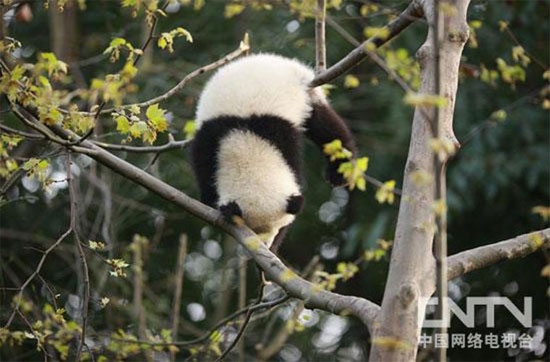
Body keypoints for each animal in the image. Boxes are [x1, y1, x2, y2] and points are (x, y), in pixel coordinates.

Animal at [194, 53, 358, 252]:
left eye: (278, 228)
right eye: (253, 231)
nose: (267, 245)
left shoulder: (283, 133)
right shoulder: (211, 135)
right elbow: (203, 168)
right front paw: (212, 201)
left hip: (306, 97)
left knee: (328, 131)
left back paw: (339, 172)